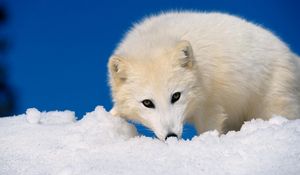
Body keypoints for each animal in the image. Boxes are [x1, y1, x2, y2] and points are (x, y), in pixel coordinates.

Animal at [108, 11, 300, 141]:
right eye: (147, 103)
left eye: (176, 96)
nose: (171, 136)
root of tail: (291, 55)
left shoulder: (210, 106)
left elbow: (209, 129)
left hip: (271, 107)